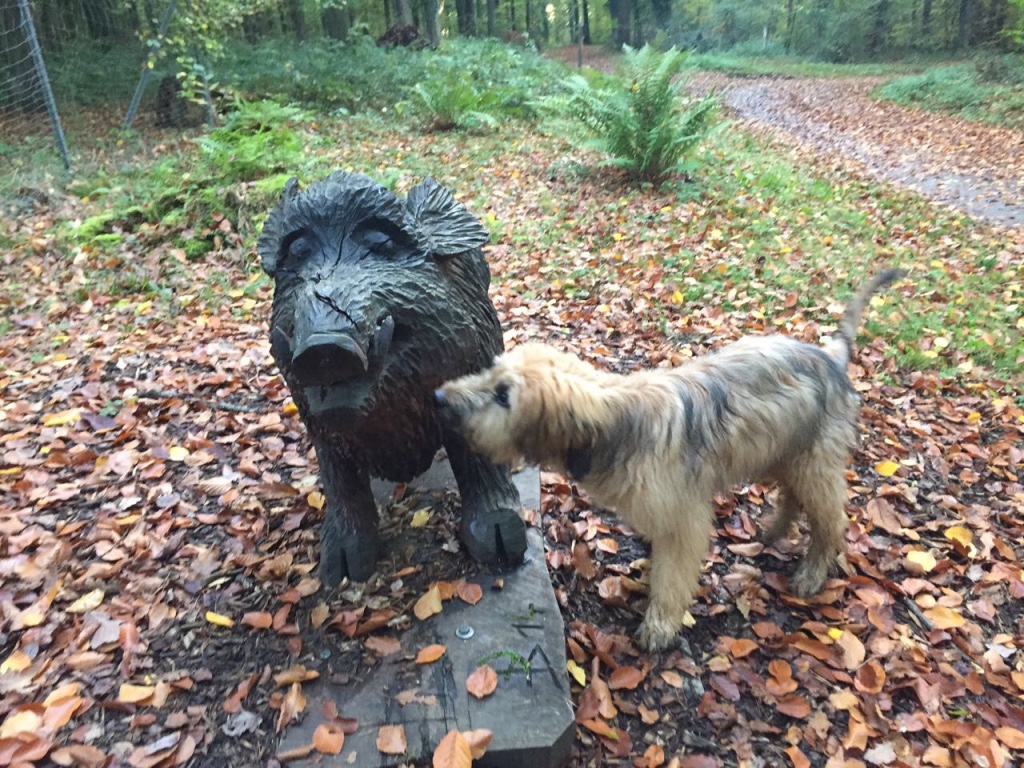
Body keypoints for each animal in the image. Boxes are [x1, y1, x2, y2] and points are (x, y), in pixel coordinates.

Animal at [436, 270, 901, 651]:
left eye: (504, 396)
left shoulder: (683, 519)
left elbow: (674, 574)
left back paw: (811, 573)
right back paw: (774, 530)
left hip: (813, 462)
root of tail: (829, 357)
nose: (440, 397)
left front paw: (659, 625)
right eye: (491, 372)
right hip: (781, 452)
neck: (617, 423)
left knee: (831, 521)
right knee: (791, 496)